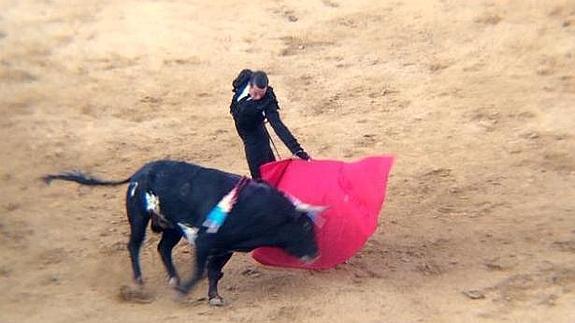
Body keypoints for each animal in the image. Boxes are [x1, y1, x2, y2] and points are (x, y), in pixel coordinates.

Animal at [44, 161, 320, 306]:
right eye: (306, 229)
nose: (316, 253)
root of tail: (140, 172)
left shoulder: (224, 248)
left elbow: (213, 272)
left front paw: (213, 297)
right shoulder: (205, 242)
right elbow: (200, 271)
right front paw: (185, 292)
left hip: (171, 227)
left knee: (163, 248)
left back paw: (174, 279)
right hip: (139, 218)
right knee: (134, 245)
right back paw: (140, 281)